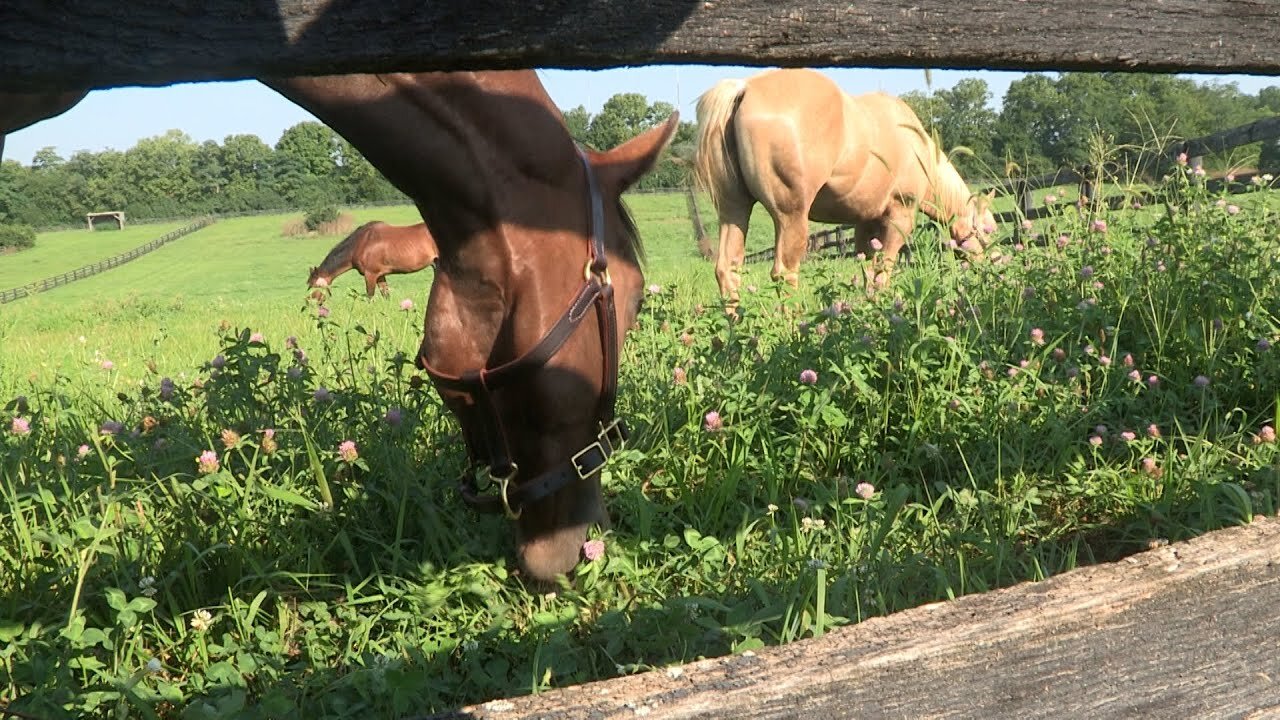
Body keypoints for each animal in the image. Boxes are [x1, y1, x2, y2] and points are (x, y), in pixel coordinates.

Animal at [305, 219, 440, 297]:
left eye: (315, 286)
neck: (360, 242)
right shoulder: (380, 275)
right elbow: (386, 295)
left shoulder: (370, 274)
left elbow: (370, 296)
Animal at [696, 69, 993, 308]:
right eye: (987, 231)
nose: (992, 268)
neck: (918, 150)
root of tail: (744, 88)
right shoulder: (900, 217)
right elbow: (883, 272)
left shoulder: (866, 224)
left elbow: (868, 273)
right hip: (790, 217)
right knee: (783, 273)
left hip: (734, 209)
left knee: (727, 270)